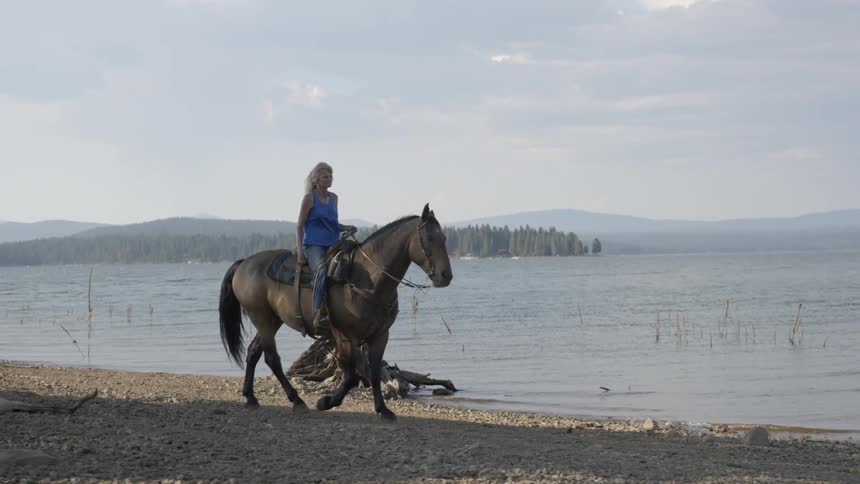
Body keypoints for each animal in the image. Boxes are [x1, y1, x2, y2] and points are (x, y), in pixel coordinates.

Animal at [218, 204, 453, 420]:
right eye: (429, 237)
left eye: (444, 237)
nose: (446, 276)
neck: (368, 279)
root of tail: (244, 263)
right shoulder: (345, 335)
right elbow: (350, 376)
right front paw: (326, 402)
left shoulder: (380, 335)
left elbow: (374, 373)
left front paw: (383, 409)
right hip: (262, 318)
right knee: (271, 358)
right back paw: (297, 400)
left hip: (272, 320)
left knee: (253, 352)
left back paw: (251, 397)